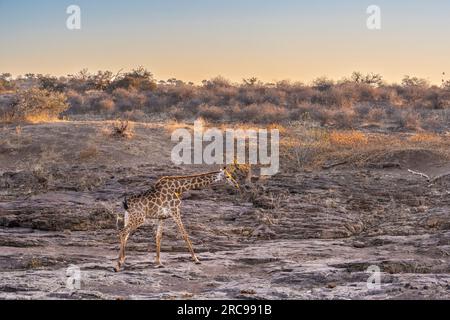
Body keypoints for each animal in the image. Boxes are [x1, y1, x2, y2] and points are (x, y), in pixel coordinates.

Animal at [112, 165, 246, 272]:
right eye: (227, 176)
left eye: (231, 176)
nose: (236, 185)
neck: (179, 188)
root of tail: (126, 203)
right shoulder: (175, 210)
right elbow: (185, 234)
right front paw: (196, 259)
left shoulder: (162, 217)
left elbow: (158, 237)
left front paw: (158, 262)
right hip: (139, 218)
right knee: (122, 232)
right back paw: (117, 265)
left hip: (129, 217)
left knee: (125, 234)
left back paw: (121, 261)